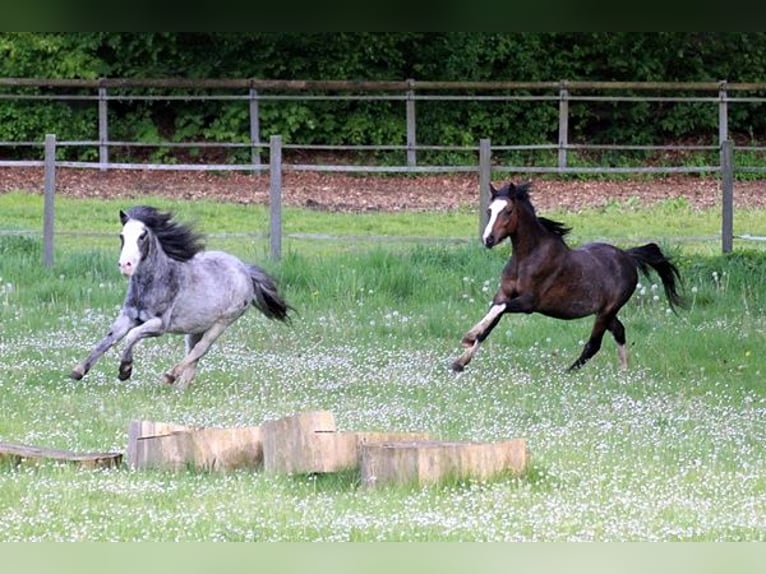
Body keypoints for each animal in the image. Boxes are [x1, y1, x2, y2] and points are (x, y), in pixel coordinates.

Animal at [71, 207, 294, 392]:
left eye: (142, 236)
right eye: (122, 236)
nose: (125, 265)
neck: (155, 281)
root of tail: (245, 270)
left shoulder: (158, 325)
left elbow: (131, 336)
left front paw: (125, 370)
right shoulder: (127, 317)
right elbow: (107, 340)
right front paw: (78, 371)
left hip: (222, 323)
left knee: (201, 349)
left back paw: (170, 376)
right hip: (197, 327)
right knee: (194, 353)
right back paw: (180, 387)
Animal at [452, 182, 688, 376]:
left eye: (508, 210)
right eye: (489, 210)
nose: (488, 239)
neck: (527, 257)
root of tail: (628, 256)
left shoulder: (528, 303)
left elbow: (498, 310)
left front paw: (468, 337)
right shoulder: (504, 294)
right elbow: (491, 322)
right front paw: (460, 361)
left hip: (608, 310)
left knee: (594, 344)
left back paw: (568, 373)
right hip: (604, 312)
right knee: (619, 331)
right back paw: (623, 373)